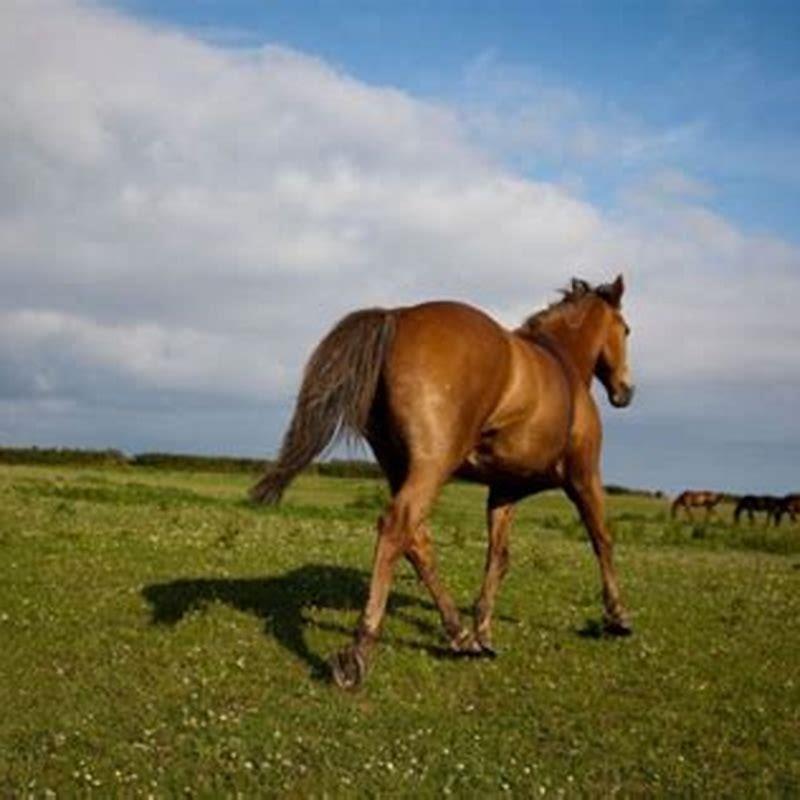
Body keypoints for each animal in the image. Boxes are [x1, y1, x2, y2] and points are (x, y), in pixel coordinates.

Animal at [252, 275, 635, 688]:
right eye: (626, 329)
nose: (626, 391)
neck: (563, 365)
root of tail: (397, 316)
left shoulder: (504, 491)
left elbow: (498, 557)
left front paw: (483, 630)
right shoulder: (585, 478)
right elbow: (602, 540)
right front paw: (618, 617)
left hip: (400, 467)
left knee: (417, 540)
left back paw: (461, 636)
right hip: (432, 466)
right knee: (397, 527)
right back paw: (359, 652)